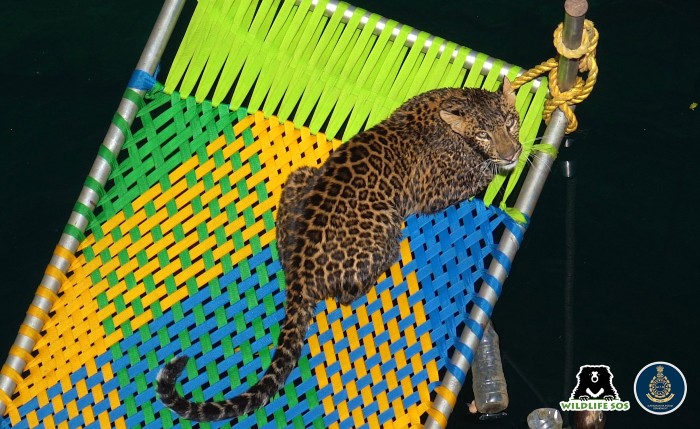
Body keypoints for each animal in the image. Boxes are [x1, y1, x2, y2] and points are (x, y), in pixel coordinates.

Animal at [156, 77, 524, 422]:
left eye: (510, 122)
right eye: (484, 135)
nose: (512, 154)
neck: (453, 107)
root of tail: (301, 273)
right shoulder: (435, 190)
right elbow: (479, 176)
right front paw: (496, 167)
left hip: (301, 179)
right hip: (385, 232)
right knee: (348, 293)